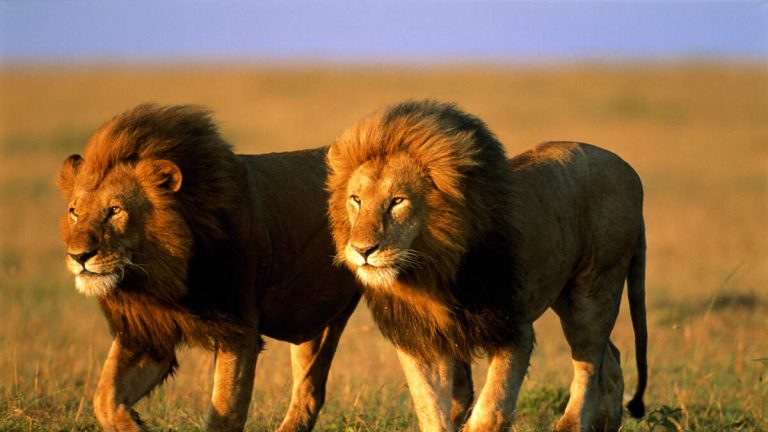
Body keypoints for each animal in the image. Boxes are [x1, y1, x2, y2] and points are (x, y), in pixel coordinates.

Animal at [56, 103, 369, 432]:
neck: (161, 276)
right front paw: (134, 423)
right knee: (310, 393)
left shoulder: (239, 329)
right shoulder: (149, 329)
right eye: (74, 212)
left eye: (115, 210)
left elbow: (225, 411)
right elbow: (104, 396)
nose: (78, 256)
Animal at [327, 100, 648, 432]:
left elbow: (490, 410)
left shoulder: (514, 329)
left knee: (589, 361)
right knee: (610, 358)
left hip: (594, 289)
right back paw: (606, 421)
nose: (362, 250)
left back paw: (573, 424)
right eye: (356, 200)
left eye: (397, 201)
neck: (430, 273)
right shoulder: (421, 341)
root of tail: (629, 170)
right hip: (566, 295)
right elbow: (431, 409)